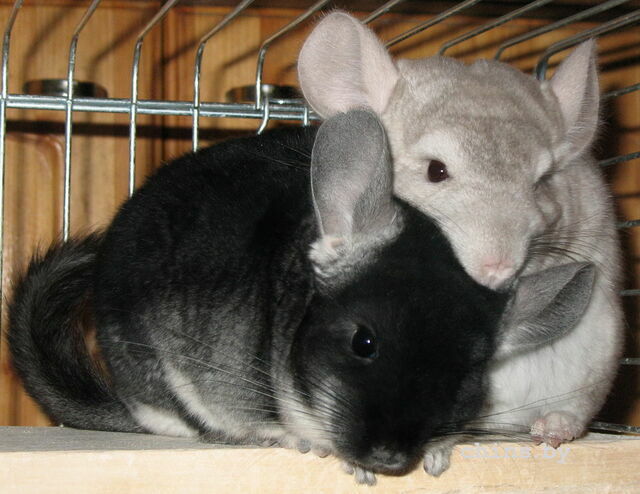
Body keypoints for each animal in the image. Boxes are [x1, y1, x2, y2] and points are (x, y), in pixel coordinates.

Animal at [298, 11, 623, 472]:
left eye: (542, 182)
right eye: (436, 170)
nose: (499, 268)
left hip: (595, 351)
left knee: (571, 411)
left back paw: (553, 429)